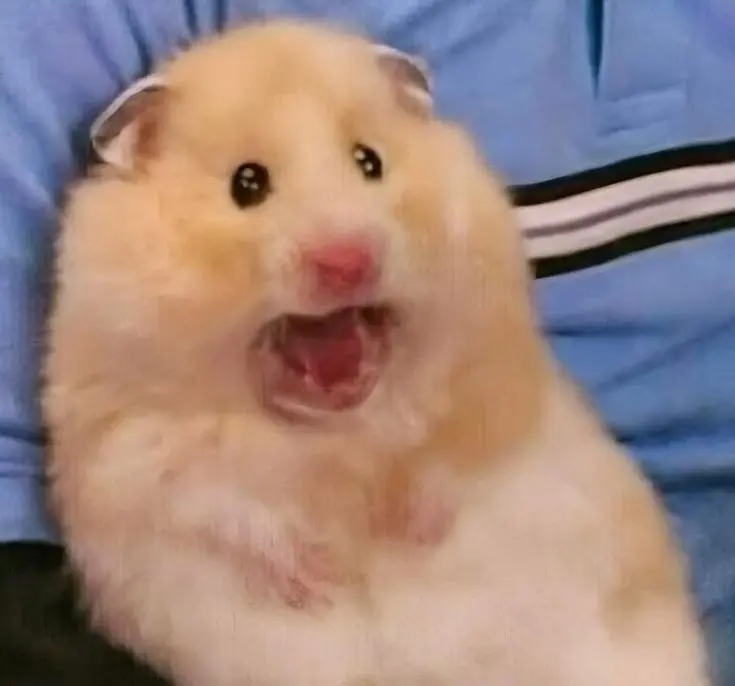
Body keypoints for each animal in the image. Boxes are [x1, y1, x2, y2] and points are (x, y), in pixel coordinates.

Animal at [43, 19, 710, 686]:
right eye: (246, 184)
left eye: (371, 162)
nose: (347, 260)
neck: (342, 437)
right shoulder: (131, 449)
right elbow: (219, 505)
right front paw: (316, 574)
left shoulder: (494, 376)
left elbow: (456, 455)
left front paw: (406, 531)